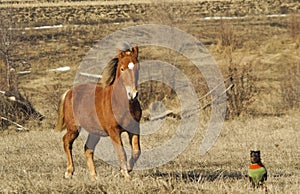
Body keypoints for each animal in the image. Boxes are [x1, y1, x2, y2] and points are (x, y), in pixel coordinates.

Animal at [54, 45, 142, 180]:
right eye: (122, 68)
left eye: (137, 67)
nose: (132, 94)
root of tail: (69, 92)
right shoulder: (113, 131)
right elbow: (121, 153)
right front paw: (126, 176)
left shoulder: (134, 128)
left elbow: (137, 151)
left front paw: (127, 169)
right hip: (74, 128)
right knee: (66, 141)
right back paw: (69, 172)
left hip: (95, 132)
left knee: (88, 149)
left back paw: (94, 177)